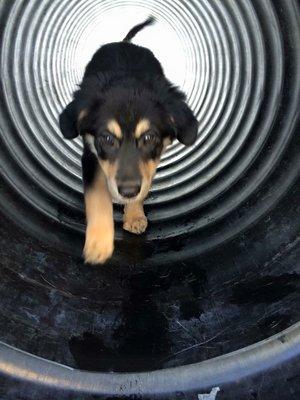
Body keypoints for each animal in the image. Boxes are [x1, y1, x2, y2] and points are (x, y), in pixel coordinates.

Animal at [59, 17, 198, 264]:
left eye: (149, 137)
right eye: (106, 138)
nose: (128, 192)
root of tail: (125, 43)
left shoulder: (151, 161)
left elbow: (144, 179)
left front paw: (133, 215)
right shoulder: (91, 155)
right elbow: (97, 196)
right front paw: (99, 243)